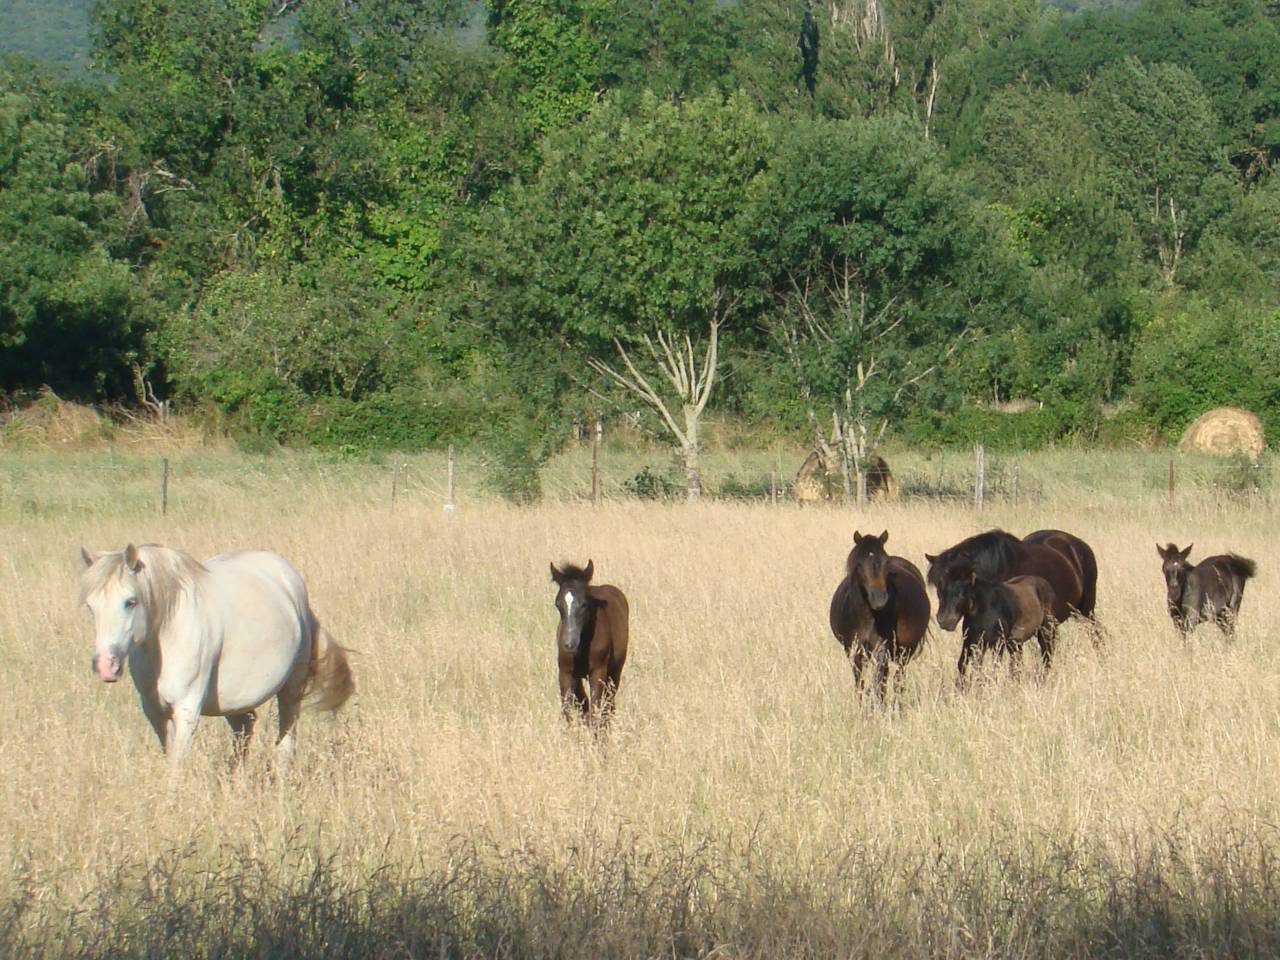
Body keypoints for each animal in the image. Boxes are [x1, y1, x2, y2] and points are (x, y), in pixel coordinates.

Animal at [80, 544, 353, 776]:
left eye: (131, 602)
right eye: (90, 607)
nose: (105, 666)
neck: (167, 635)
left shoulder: (187, 709)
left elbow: (176, 766)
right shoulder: (154, 711)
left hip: (291, 689)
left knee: (286, 740)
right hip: (234, 701)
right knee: (245, 730)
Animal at [549, 560, 629, 729]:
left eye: (584, 604)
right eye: (558, 604)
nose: (569, 644)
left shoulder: (598, 673)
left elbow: (596, 711)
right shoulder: (565, 673)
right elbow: (568, 712)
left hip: (615, 671)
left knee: (608, 705)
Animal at [829, 530, 931, 705]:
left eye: (885, 562)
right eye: (860, 564)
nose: (880, 599)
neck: (866, 616)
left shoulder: (881, 648)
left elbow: (878, 682)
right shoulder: (853, 649)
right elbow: (860, 683)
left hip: (905, 651)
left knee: (898, 679)